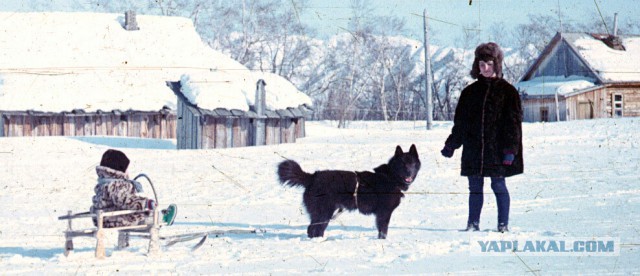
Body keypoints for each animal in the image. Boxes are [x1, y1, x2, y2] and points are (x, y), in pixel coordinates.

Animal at [276, 144, 420, 239]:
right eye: (402, 164)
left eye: (412, 164)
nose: (409, 173)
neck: (390, 177)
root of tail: (312, 176)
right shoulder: (384, 212)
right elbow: (383, 231)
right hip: (324, 212)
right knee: (314, 229)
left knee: (312, 229)